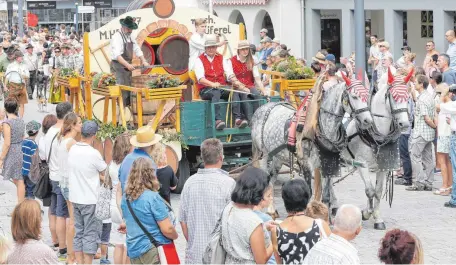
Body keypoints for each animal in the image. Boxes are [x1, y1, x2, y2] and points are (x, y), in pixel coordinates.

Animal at [251, 72, 372, 214]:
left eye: (367, 95)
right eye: (354, 96)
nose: (368, 120)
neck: (318, 128)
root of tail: (264, 107)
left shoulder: (327, 163)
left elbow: (326, 196)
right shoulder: (306, 164)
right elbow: (308, 192)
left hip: (277, 156)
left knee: (272, 177)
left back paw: (272, 210)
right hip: (263, 153)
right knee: (265, 178)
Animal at [342, 67, 414, 228]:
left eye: (408, 97)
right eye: (393, 96)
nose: (405, 124)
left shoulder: (384, 166)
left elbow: (378, 191)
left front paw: (377, 218)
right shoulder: (362, 164)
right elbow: (369, 190)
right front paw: (366, 213)